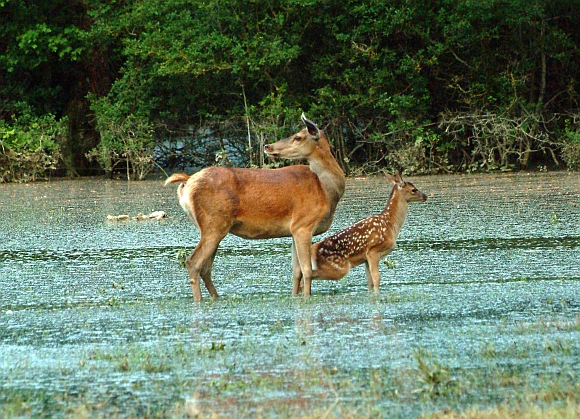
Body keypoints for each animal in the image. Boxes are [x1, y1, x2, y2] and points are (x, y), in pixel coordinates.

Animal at [163, 113, 344, 300]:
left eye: (298, 137)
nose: (268, 146)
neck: (325, 190)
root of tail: (187, 181)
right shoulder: (304, 224)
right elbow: (307, 271)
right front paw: (307, 298)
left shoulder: (294, 229)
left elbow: (296, 272)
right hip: (214, 222)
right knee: (193, 262)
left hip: (212, 226)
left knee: (205, 268)